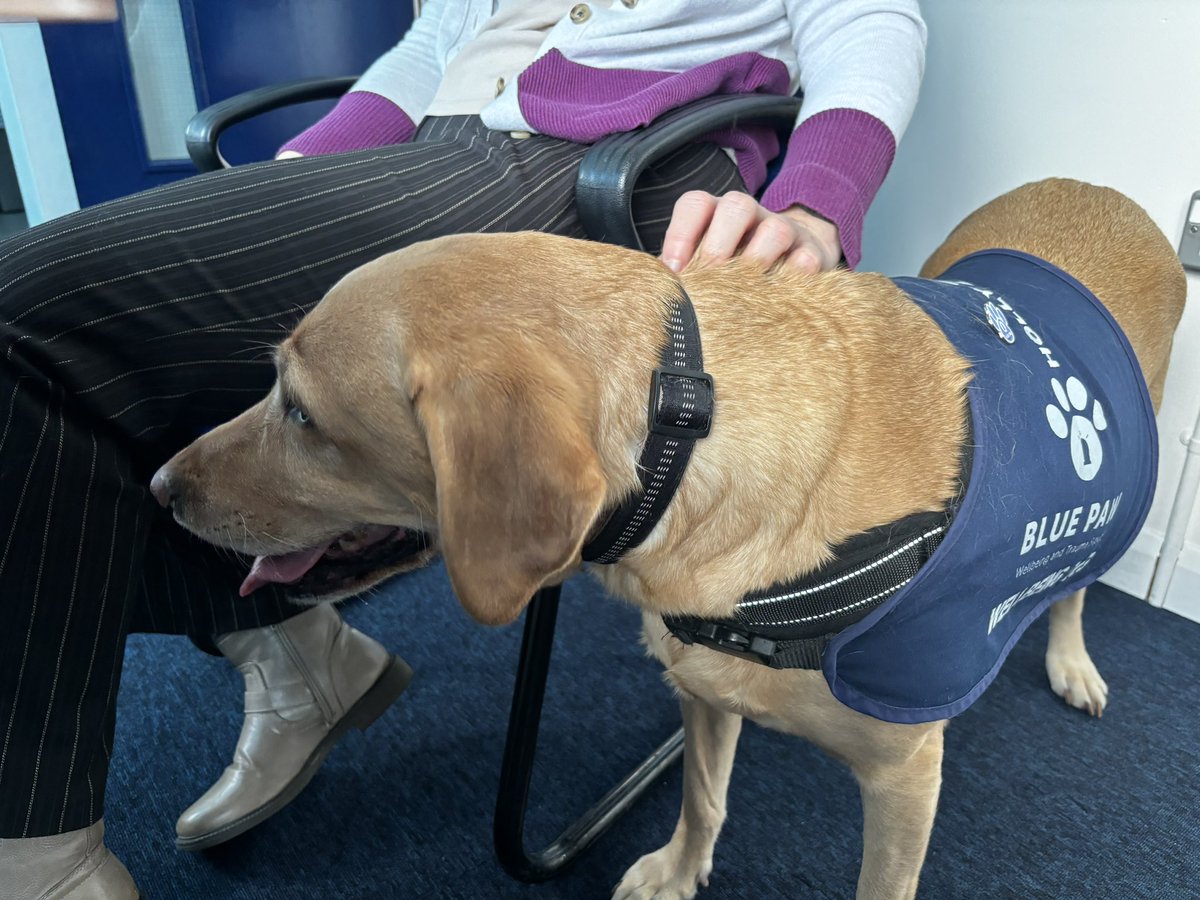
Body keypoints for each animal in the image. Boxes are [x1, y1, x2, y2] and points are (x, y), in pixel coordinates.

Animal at [157, 180, 1180, 897]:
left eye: (301, 413)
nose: (162, 488)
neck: (688, 430)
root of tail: (1104, 192)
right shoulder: (701, 688)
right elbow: (702, 794)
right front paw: (681, 871)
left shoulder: (904, 779)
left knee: (1074, 589)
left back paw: (1072, 661)